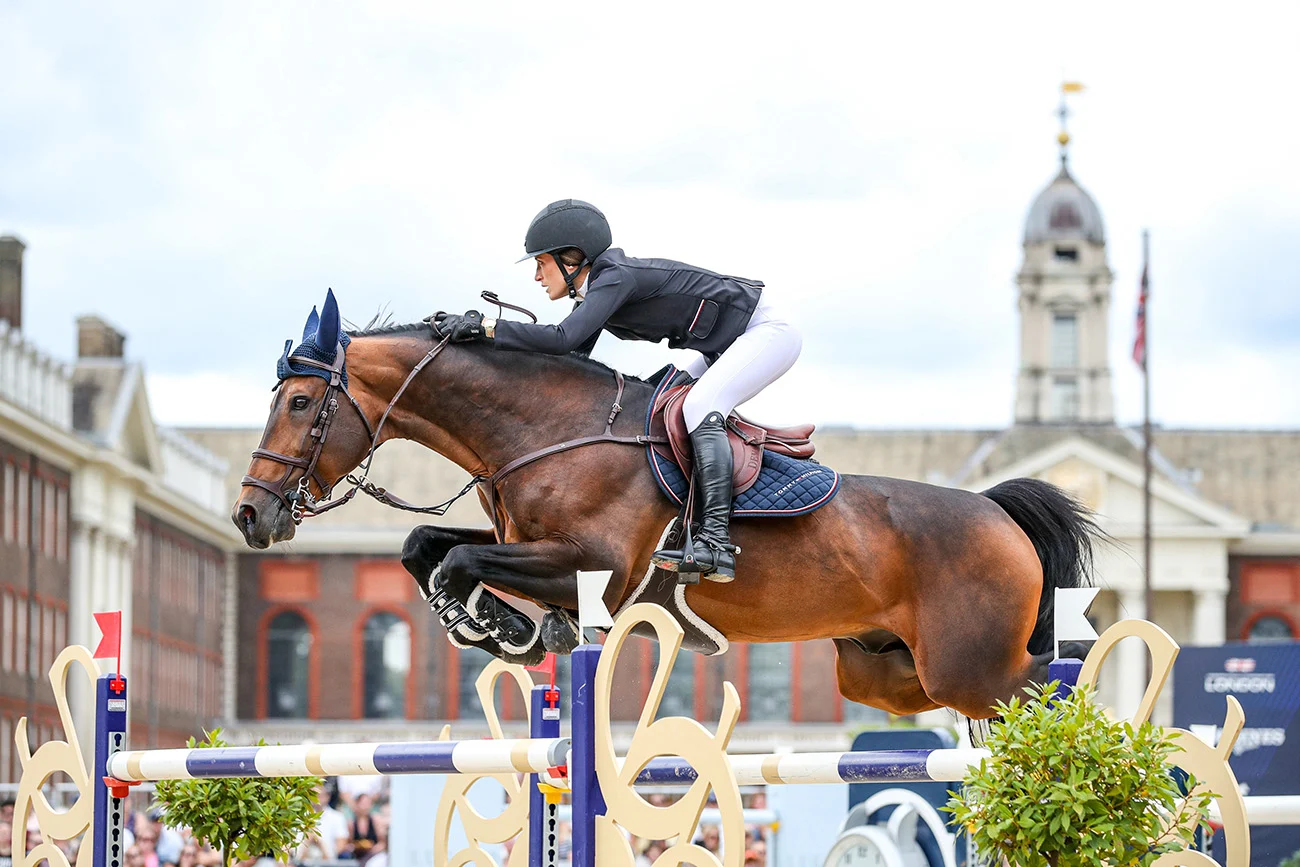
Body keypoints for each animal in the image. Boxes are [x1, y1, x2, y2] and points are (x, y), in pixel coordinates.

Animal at [233, 295, 1097, 722]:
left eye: (301, 402)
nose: (250, 516)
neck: (545, 430)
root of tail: (998, 514)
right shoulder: (531, 544)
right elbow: (426, 543)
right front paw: (509, 628)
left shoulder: (594, 569)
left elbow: (459, 558)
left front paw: (500, 626)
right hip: (883, 670)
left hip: (969, 665)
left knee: (1057, 683)